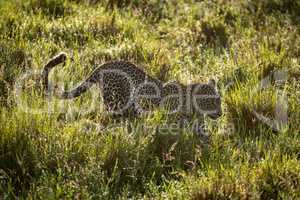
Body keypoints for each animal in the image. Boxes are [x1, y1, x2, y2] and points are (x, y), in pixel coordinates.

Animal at [42, 52, 221, 138]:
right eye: (211, 102)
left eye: (219, 101)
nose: (220, 113)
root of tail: (103, 65)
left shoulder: (198, 125)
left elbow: (204, 136)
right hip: (116, 101)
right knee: (109, 118)